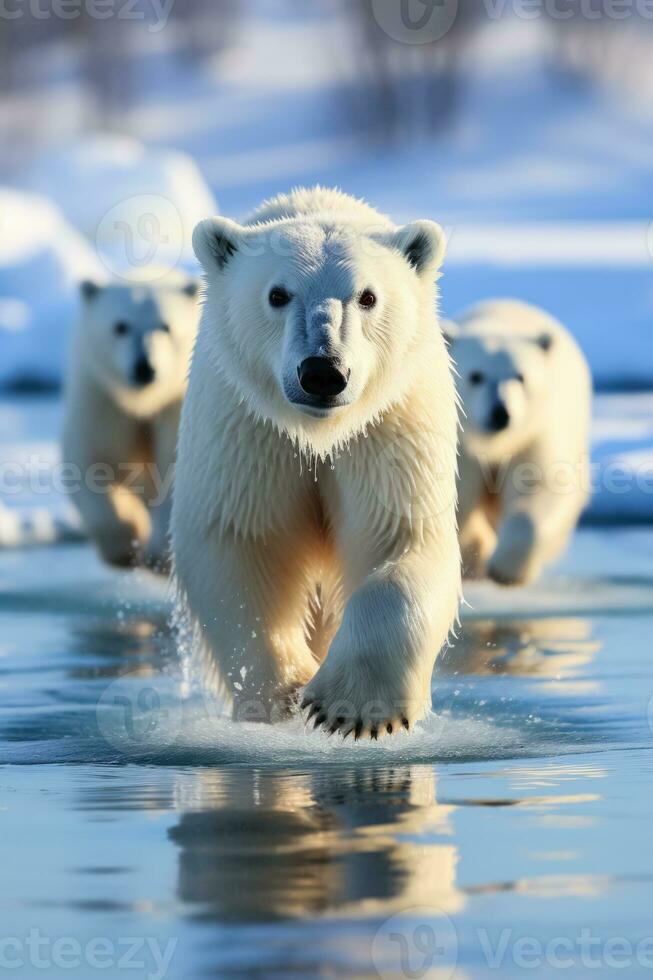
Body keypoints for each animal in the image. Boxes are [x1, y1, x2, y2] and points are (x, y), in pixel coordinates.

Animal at [65, 272, 201, 572]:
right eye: (120, 326)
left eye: (165, 326)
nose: (144, 367)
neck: (143, 402)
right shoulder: (102, 400)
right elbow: (89, 462)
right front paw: (124, 545)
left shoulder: (175, 406)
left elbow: (175, 472)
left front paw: (158, 555)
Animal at [171, 184, 460, 740]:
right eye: (277, 294)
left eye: (367, 296)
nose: (323, 371)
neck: (318, 433)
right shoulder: (248, 426)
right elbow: (243, 543)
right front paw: (282, 692)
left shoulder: (389, 425)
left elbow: (403, 538)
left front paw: (351, 706)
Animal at [448, 298, 592, 584]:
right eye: (475, 376)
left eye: (520, 376)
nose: (500, 412)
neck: (493, 445)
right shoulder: (460, 445)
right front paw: (475, 555)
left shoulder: (533, 436)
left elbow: (539, 485)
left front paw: (505, 569)